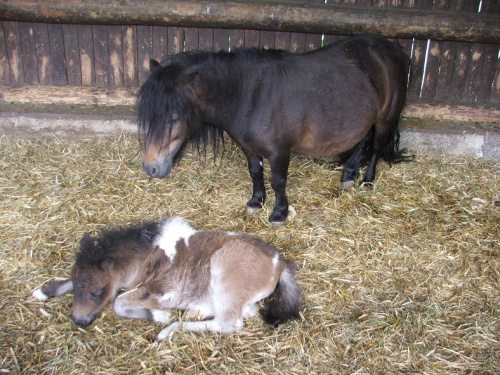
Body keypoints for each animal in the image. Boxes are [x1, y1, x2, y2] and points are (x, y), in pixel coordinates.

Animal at [34, 217, 304, 340]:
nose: (79, 320)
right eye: (78, 285)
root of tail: (280, 264)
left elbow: (118, 303)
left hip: (225, 276)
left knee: (229, 323)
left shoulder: (164, 290)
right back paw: (196, 310)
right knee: (245, 312)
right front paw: (42, 291)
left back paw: (168, 330)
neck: (145, 256)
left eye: (96, 292)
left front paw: (159, 316)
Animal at [137, 35, 410, 225]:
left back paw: (367, 180)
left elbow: (278, 181)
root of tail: (392, 49)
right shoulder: (248, 147)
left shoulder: (280, 152)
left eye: (174, 116)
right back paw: (349, 174)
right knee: (363, 141)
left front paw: (279, 213)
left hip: (385, 118)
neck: (249, 95)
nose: (151, 167)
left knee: (376, 147)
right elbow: (255, 172)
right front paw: (256, 202)